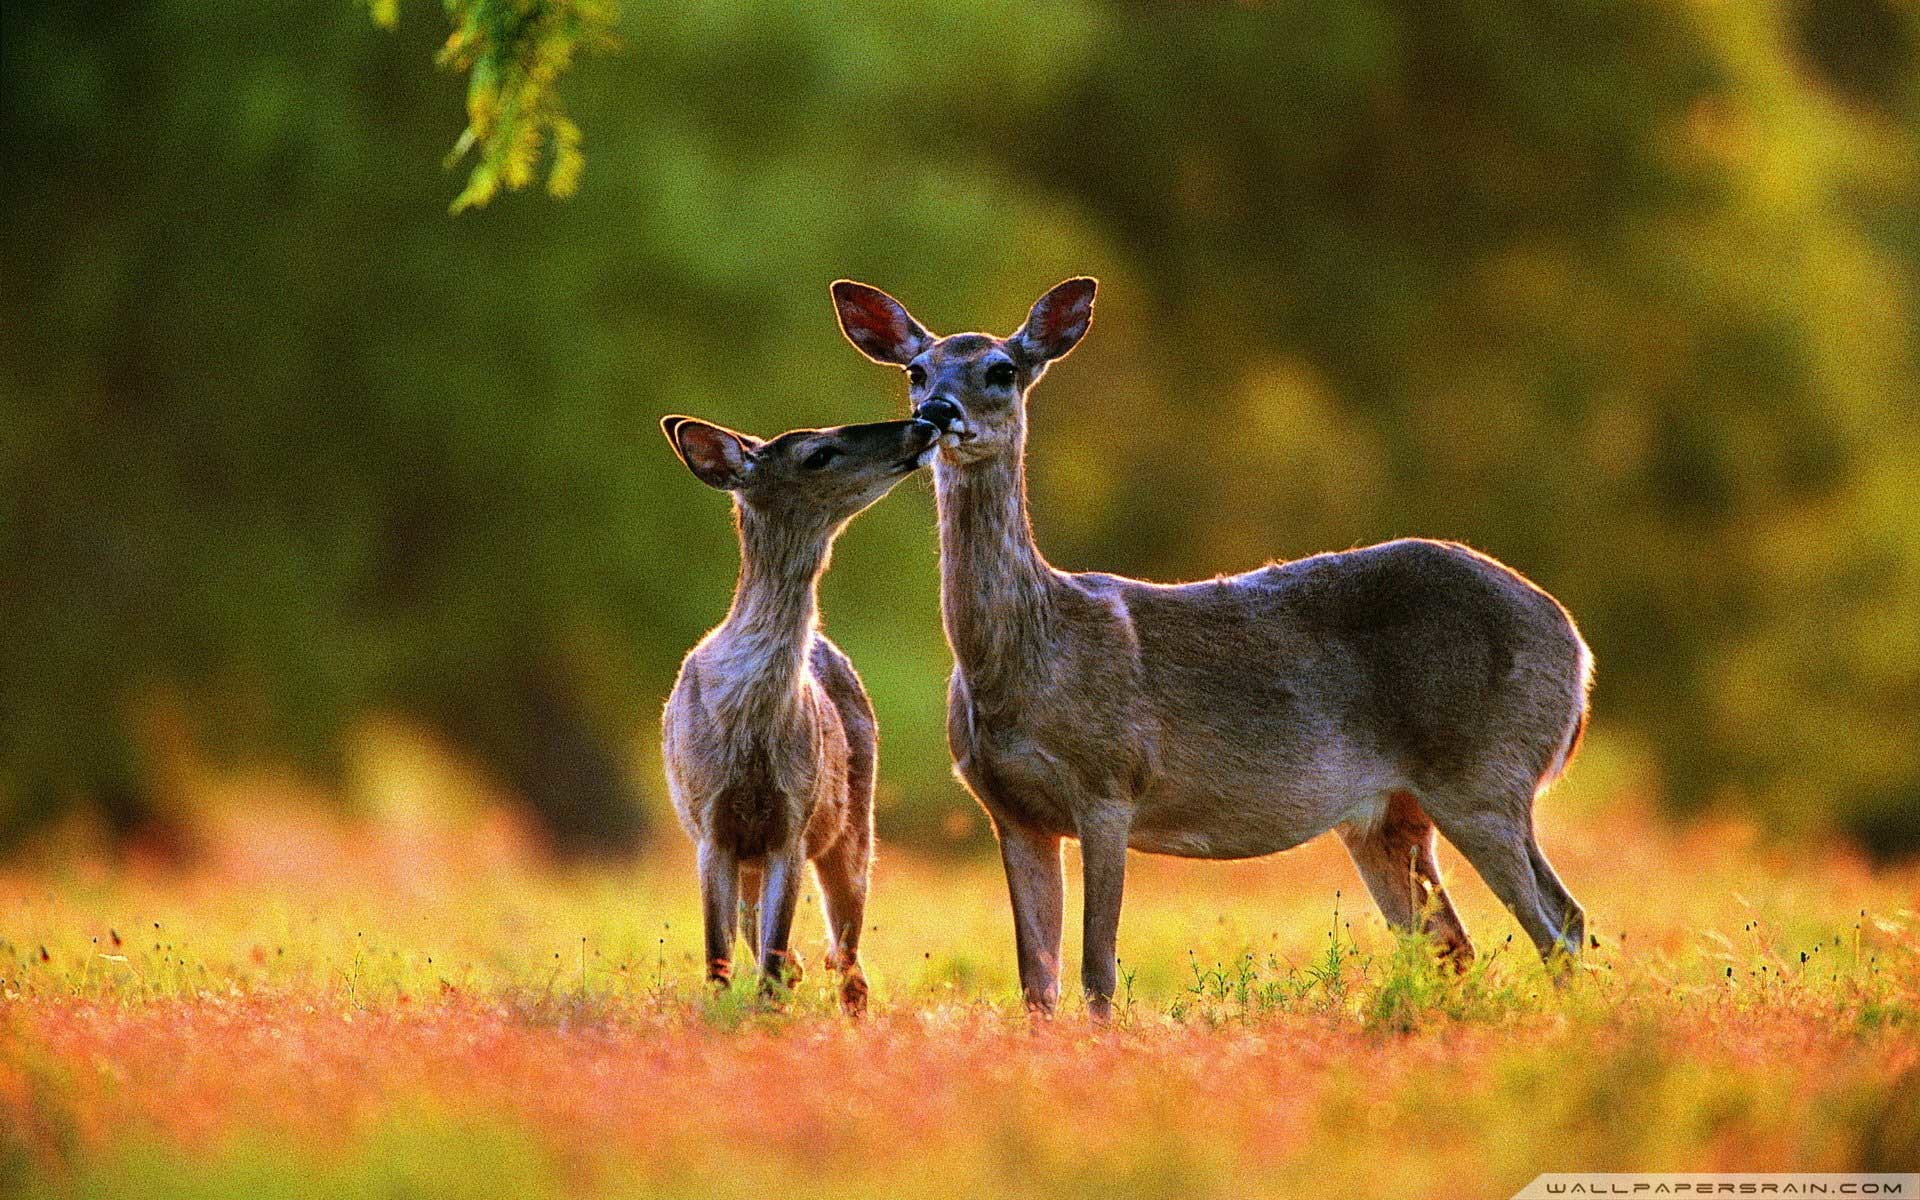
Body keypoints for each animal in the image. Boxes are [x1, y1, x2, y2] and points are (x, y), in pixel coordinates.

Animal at [659, 412, 941, 1014]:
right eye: (817, 454)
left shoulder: (794, 821)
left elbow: (770, 952)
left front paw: (767, 1011)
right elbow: (718, 954)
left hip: (855, 824)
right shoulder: (710, 824)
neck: (748, 720)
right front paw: (723, 1010)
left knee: (849, 958)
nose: (923, 423)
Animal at [832, 277, 1593, 1020]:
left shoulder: (1110, 784)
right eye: (915, 370)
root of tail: (1575, 646)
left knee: (1560, 922)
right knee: (1454, 944)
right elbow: (1036, 985)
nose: (937, 412)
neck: (1029, 657)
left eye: (1002, 369)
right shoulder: (1011, 812)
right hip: (1389, 815)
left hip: (1484, 772)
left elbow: (1097, 971)